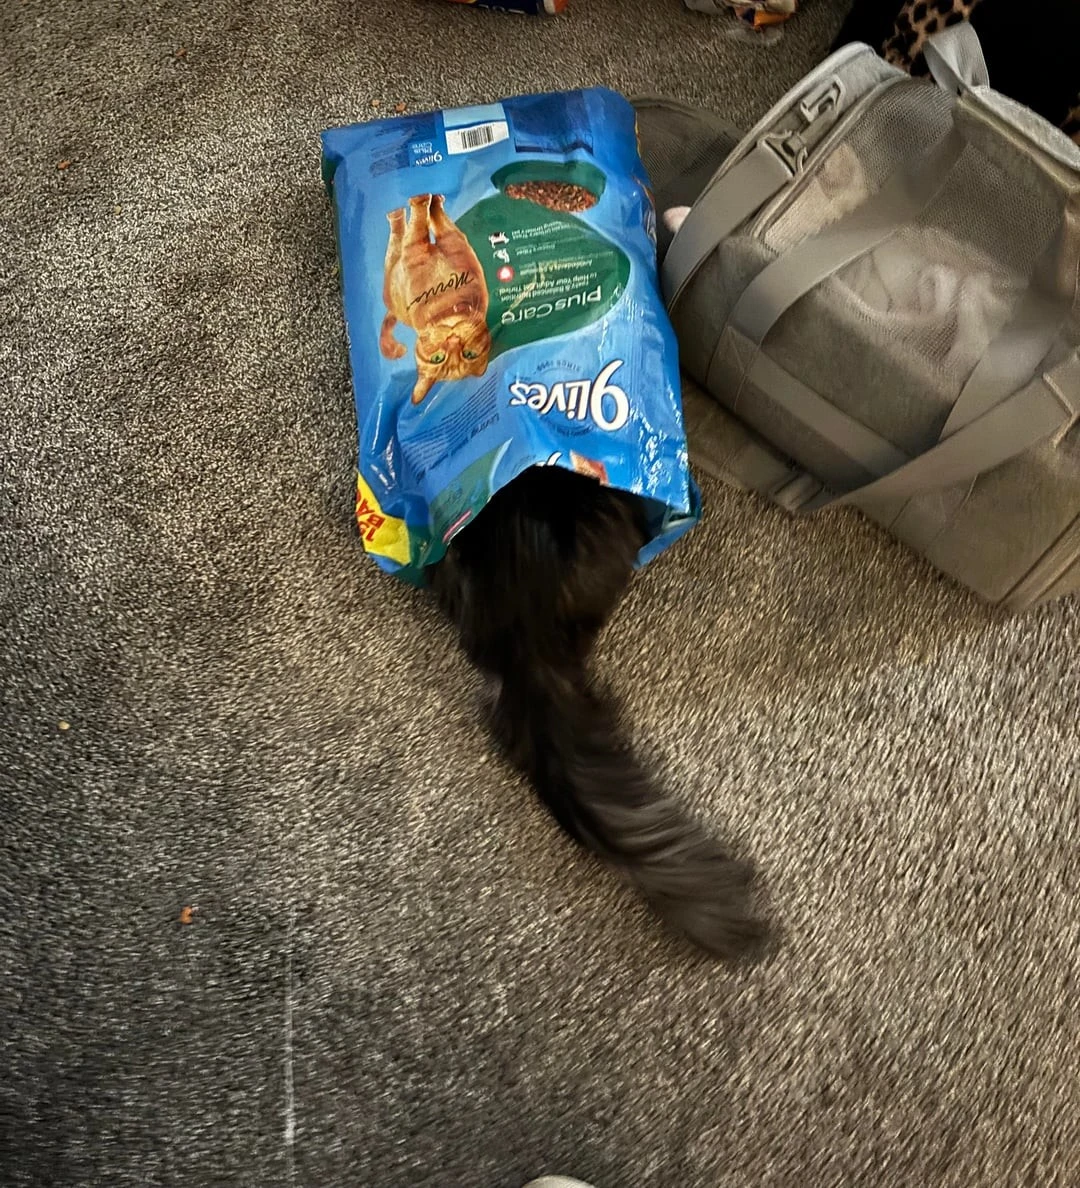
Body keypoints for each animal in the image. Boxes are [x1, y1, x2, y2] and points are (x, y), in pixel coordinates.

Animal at [380, 192, 492, 405]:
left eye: (469, 355)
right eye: (438, 358)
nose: (453, 340)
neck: (448, 306)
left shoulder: (436, 242)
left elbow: (428, 223)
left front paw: (428, 202)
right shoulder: (435, 243)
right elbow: (428, 222)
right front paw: (429, 201)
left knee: (398, 239)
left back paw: (397, 213)